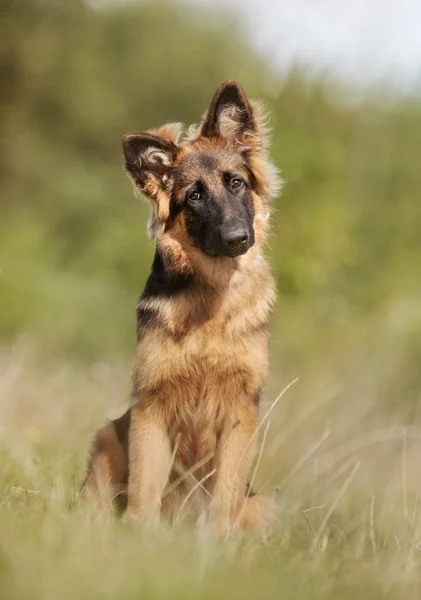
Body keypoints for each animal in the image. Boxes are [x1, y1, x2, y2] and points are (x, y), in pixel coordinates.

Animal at [81, 79, 280, 536]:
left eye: (236, 183)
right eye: (194, 196)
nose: (237, 238)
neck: (211, 309)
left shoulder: (240, 411)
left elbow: (224, 494)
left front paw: (216, 542)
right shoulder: (151, 406)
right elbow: (145, 487)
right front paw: (140, 536)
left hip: (261, 505)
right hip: (107, 439)